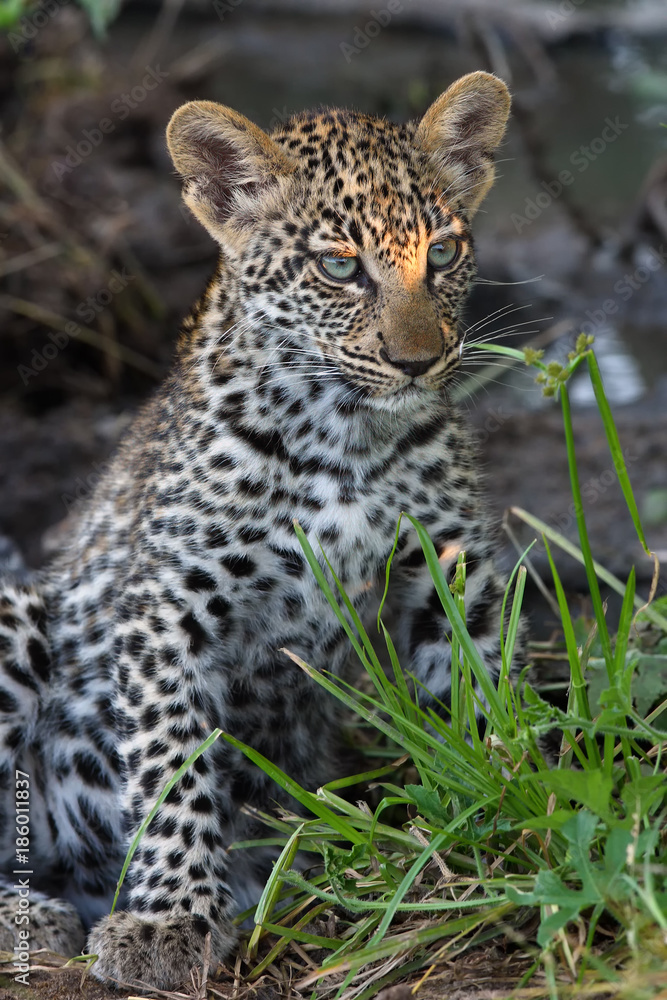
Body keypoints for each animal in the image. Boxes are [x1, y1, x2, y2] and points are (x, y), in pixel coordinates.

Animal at [0, 71, 513, 989]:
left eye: (443, 254)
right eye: (339, 267)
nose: (418, 362)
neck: (343, 436)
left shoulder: (454, 576)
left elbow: (478, 690)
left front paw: (495, 803)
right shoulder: (165, 609)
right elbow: (173, 765)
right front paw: (168, 923)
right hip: (20, 618)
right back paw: (35, 914)